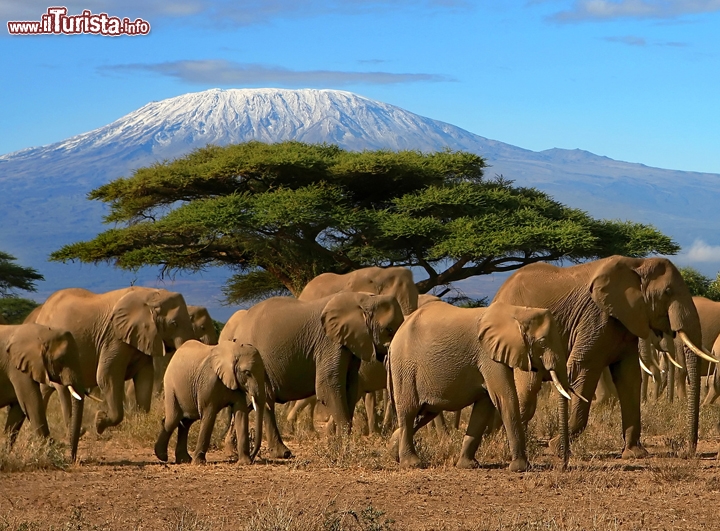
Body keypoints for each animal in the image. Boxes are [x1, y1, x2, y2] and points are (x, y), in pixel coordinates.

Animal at [0, 324, 87, 462]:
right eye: (60, 360)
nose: (72, 459)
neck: (41, 334)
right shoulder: (16, 369)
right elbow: (32, 404)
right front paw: (50, 456)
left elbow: (17, 411)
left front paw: (4, 455)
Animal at [29, 288, 194, 434]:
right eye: (173, 323)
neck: (153, 294)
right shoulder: (113, 337)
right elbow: (106, 376)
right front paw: (99, 423)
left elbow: (145, 378)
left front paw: (140, 422)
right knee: (61, 389)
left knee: (45, 389)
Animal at [222, 294, 402, 460]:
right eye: (389, 330)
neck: (364, 298)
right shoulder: (329, 342)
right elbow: (327, 386)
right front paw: (344, 452)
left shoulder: (351, 344)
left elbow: (350, 388)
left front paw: (337, 447)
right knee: (265, 400)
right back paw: (277, 453)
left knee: (254, 402)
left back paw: (235, 451)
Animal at [388, 302, 572, 472]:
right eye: (542, 342)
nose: (563, 465)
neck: (518, 311)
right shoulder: (488, 356)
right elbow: (505, 398)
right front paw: (521, 468)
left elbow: (484, 406)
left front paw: (468, 465)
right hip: (405, 368)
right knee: (409, 412)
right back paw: (412, 463)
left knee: (424, 413)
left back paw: (392, 451)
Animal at [492, 256, 712, 460]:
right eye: (667, 292)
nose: (687, 451)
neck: (637, 263)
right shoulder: (595, 318)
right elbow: (583, 370)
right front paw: (556, 448)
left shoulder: (626, 322)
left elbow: (629, 378)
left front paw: (635, 453)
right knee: (528, 389)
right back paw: (507, 448)